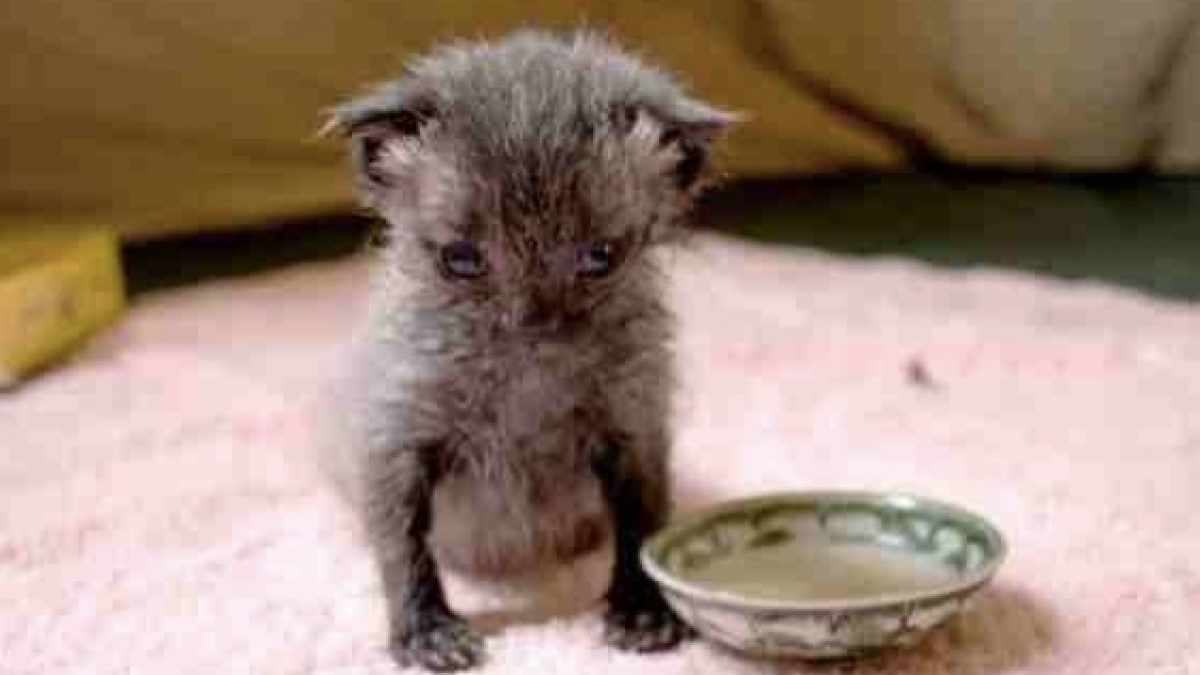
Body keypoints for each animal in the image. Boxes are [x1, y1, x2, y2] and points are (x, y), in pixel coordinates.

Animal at [324, 30, 729, 667]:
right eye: (461, 259)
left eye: (600, 257)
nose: (535, 329)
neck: (526, 390)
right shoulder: (395, 433)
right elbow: (401, 541)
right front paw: (426, 631)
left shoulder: (636, 425)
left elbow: (642, 520)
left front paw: (642, 608)